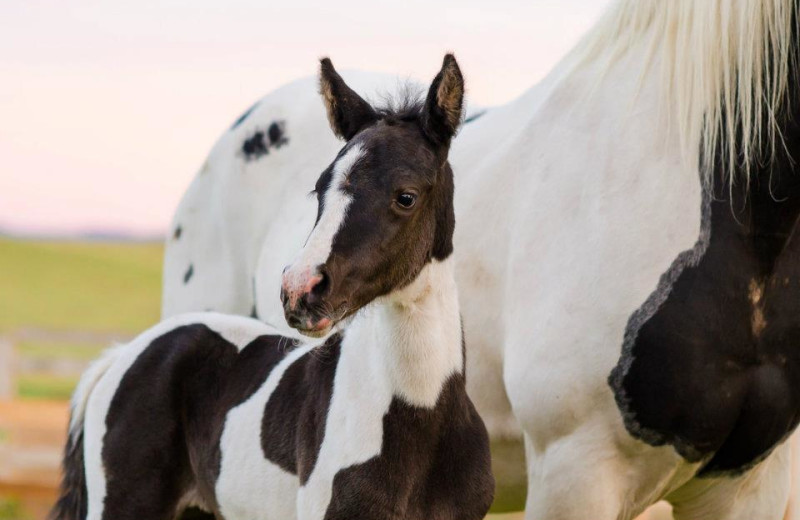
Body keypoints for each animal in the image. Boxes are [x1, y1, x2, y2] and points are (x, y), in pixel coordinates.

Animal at [51, 54, 494, 520]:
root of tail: (122, 357)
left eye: (406, 196)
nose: (300, 290)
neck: (419, 415)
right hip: (125, 504)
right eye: (319, 188)